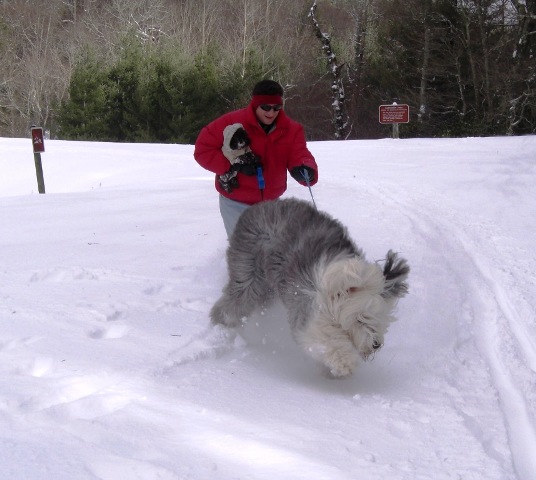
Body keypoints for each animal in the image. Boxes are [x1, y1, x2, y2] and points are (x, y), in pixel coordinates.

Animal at [210, 197, 410, 376]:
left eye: (381, 318)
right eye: (360, 319)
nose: (376, 344)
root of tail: (258, 207)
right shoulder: (306, 305)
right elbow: (323, 337)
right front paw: (343, 362)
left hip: (266, 286)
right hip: (249, 273)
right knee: (237, 299)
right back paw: (222, 323)